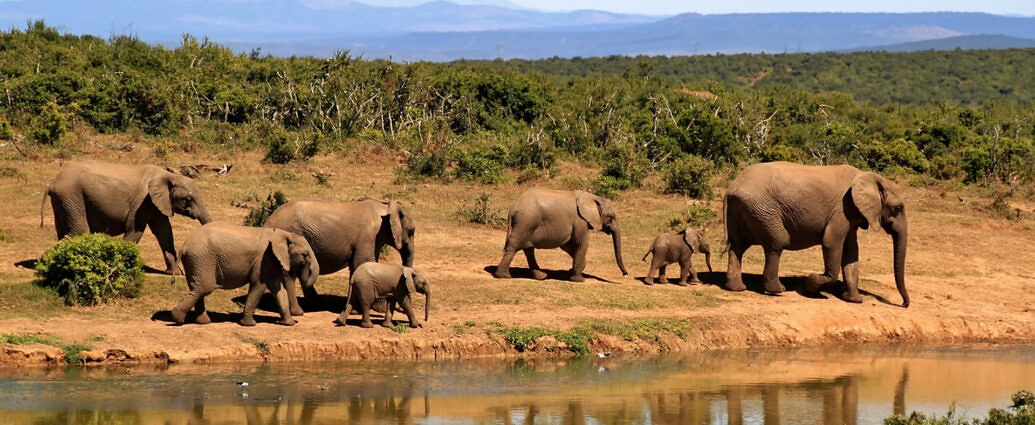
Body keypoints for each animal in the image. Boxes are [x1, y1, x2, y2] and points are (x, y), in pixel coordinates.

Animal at [171, 223, 316, 326]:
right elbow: (259, 285)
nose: (298, 319)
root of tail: (184, 246)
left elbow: (278, 288)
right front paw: (249, 324)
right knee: (204, 287)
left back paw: (203, 322)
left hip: (195, 261)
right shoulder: (263, 259)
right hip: (202, 259)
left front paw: (288, 324)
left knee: (197, 288)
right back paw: (177, 318)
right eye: (305, 255)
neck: (283, 234)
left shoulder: (271, 260)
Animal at [262, 198, 416, 314]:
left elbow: (358, 266)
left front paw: (357, 310)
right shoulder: (369, 236)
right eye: (411, 231)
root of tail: (269, 221)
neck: (385, 206)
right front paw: (376, 309)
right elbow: (364, 262)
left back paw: (317, 304)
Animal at [494, 189, 629, 283]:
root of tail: (513, 207)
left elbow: (567, 245)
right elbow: (581, 242)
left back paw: (541, 276)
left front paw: (573, 270)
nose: (625, 274)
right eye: (611, 216)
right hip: (526, 221)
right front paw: (579, 279)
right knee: (514, 245)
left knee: (528, 249)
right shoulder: (580, 220)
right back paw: (504, 276)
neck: (592, 197)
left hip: (527, 223)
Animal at [724, 161, 910, 308]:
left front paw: (854, 300)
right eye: (898, 208)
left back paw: (737, 288)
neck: (873, 178)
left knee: (737, 246)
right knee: (777, 242)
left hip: (745, 210)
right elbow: (831, 243)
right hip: (763, 210)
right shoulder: (842, 209)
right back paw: (778, 290)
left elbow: (851, 252)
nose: (903, 304)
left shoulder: (851, 214)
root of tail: (731, 188)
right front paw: (810, 284)